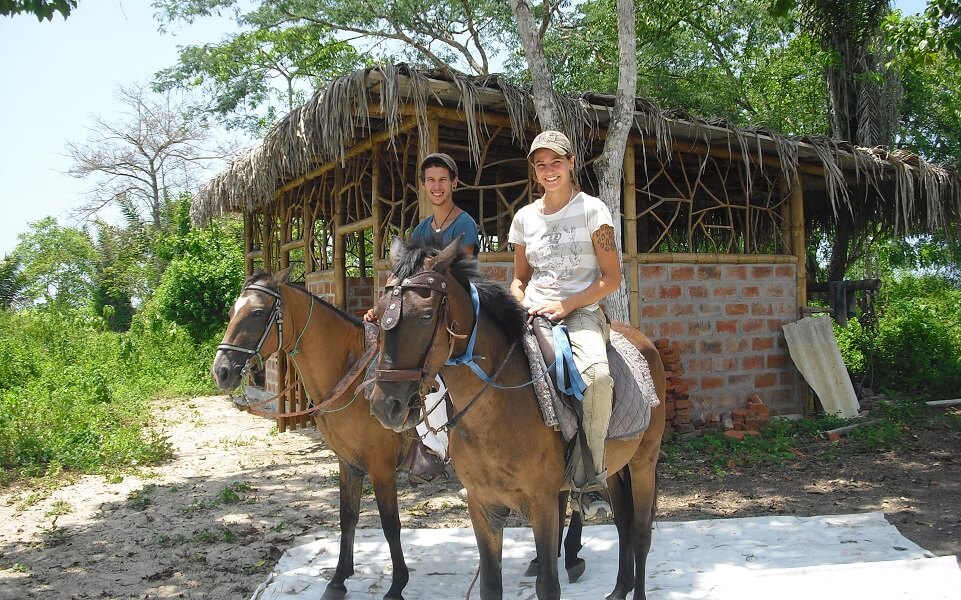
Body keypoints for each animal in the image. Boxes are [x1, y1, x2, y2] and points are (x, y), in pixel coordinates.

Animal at [210, 272, 408, 600]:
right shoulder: (349, 463)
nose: (221, 371)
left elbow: (390, 524)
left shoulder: (382, 467)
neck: (353, 375)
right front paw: (338, 579)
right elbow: (347, 517)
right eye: (230, 312)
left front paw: (396, 586)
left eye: (257, 313)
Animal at [364, 239, 664, 600]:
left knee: (641, 532)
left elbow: (548, 584)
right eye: (379, 313)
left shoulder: (542, 503)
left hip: (644, 461)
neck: (494, 413)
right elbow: (491, 584)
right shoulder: (483, 505)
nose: (386, 405)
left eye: (424, 316)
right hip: (615, 466)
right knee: (623, 521)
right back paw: (619, 589)